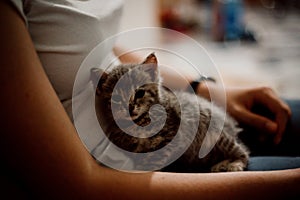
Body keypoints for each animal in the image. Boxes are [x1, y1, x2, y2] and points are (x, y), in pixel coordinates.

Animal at [91, 52, 248, 172]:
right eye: (116, 98)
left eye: (140, 93)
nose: (130, 108)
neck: (138, 123)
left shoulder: (172, 137)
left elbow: (155, 159)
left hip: (216, 135)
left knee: (243, 153)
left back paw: (232, 164)